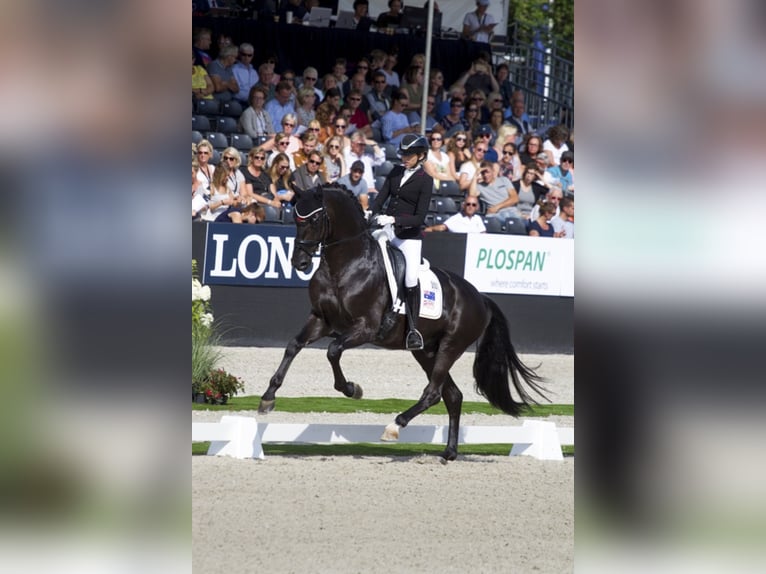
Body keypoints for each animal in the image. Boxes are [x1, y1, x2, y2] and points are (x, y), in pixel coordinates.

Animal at [260, 184, 548, 464]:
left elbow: (333, 351)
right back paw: (448, 453)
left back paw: (395, 426)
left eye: (315, 218)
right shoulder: (322, 320)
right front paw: (267, 398)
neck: (345, 265)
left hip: (451, 346)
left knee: (433, 393)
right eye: (296, 219)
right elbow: (293, 346)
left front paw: (352, 389)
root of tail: (480, 298)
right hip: (425, 351)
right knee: (452, 396)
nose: (299, 262)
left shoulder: (365, 328)